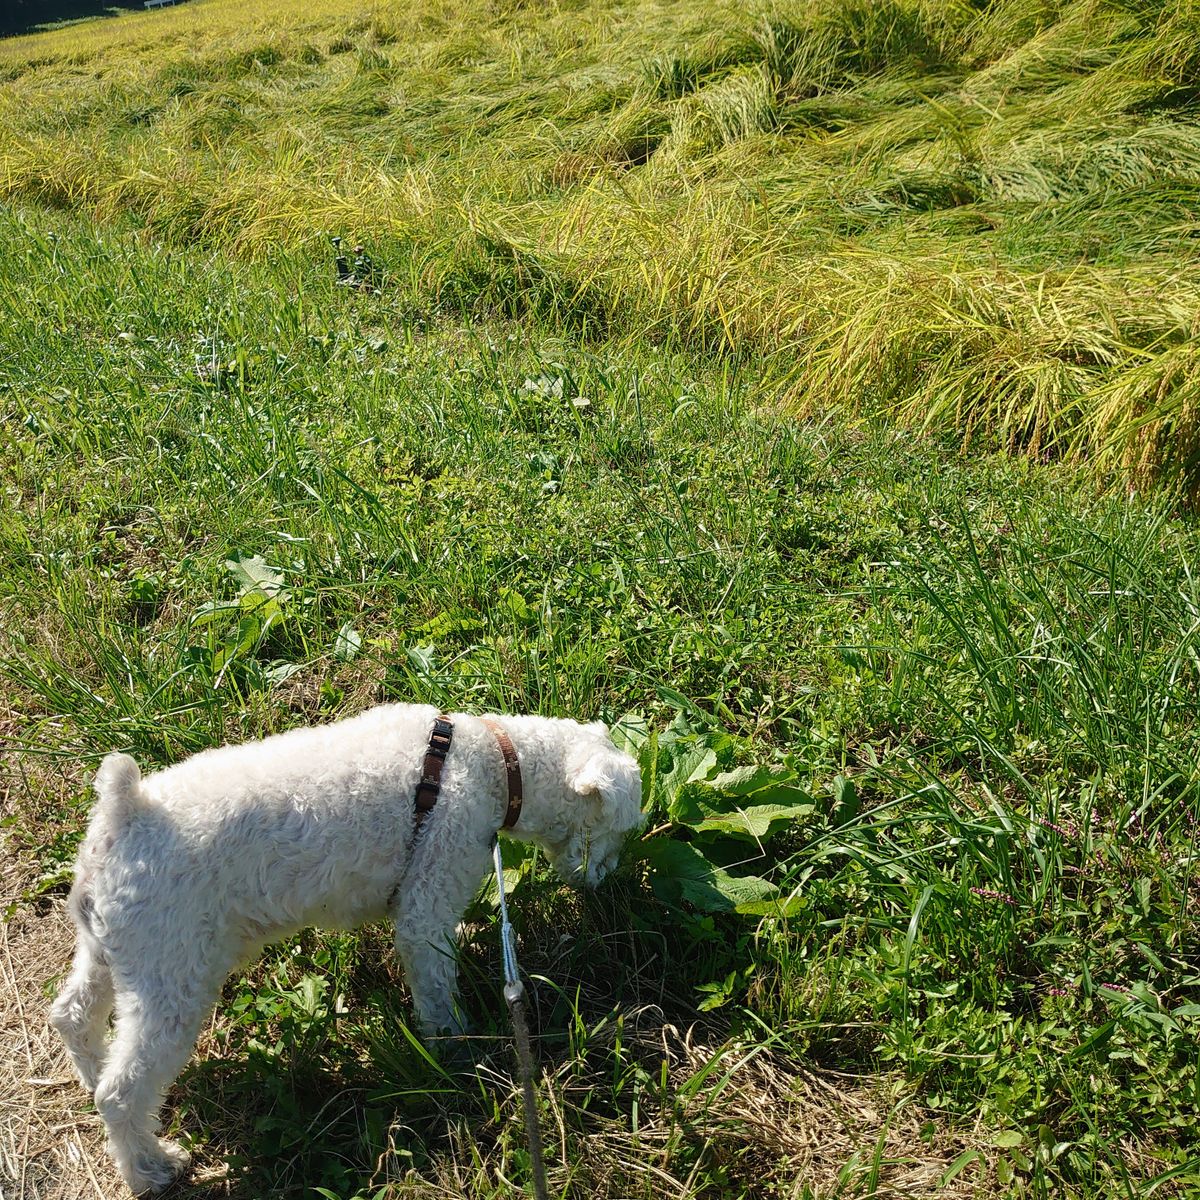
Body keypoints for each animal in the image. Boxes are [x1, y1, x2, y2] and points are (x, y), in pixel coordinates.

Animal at [51, 700, 643, 1190]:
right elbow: (437, 996)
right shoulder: (426, 908)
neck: (494, 762)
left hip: (115, 949)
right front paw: (457, 1054)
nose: (604, 881)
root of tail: (124, 812)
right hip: (171, 977)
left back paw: (92, 1074)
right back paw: (150, 1168)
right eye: (617, 829)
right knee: (120, 1092)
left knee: (72, 1015)